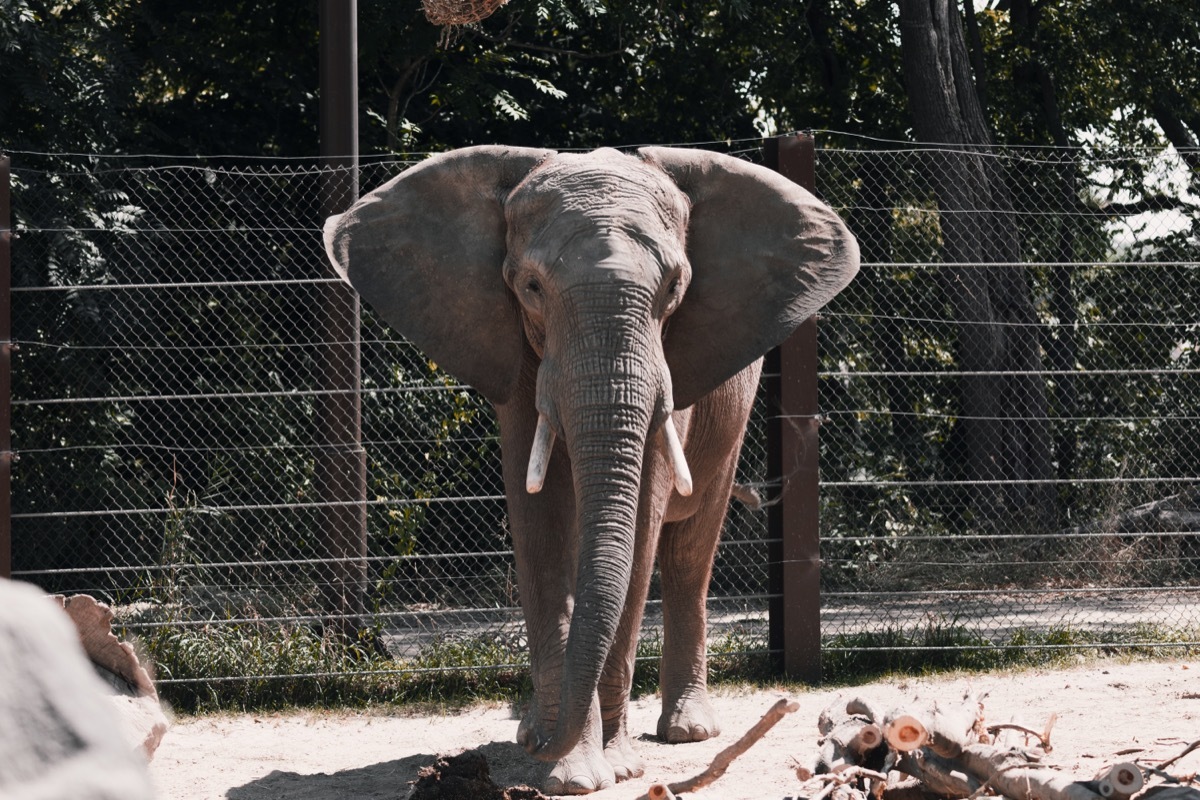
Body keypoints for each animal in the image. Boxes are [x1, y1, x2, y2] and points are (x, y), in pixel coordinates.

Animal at [324, 145, 859, 796]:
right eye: (530, 287)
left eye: (675, 289)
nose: (538, 748)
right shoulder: (518, 366)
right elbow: (540, 527)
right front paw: (570, 771)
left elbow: (641, 531)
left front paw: (615, 769)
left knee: (689, 552)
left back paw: (687, 732)